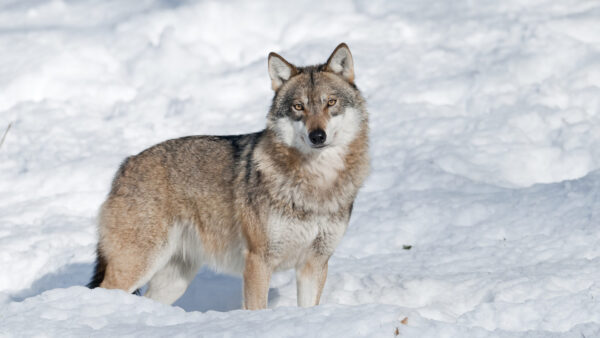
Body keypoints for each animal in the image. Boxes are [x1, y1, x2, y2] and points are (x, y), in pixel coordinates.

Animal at [88, 43, 370, 310]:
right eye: (298, 107)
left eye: (330, 102)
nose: (317, 136)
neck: (318, 182)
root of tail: (126, 165)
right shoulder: (258, 260)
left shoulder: (315, 263)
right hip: (138, 264)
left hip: (174, 279)